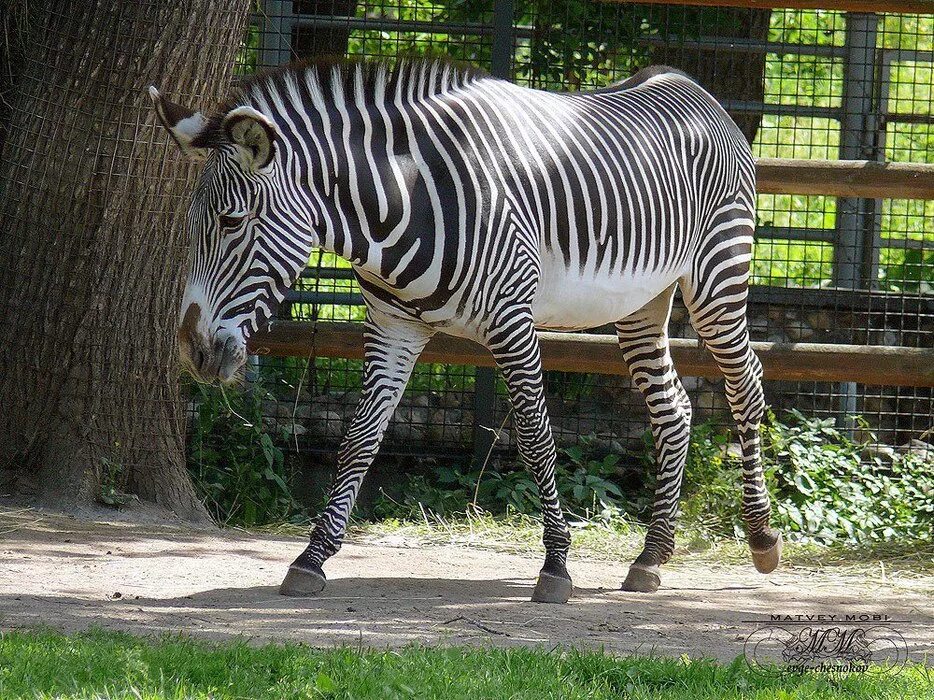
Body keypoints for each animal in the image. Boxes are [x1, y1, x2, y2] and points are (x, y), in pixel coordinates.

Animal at [152, 58, 784, 600]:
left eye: (233, 221)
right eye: (192, 223)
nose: (192, 351)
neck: (403, 201)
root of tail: (691, 86)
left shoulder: (511, 321)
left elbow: (534, 437)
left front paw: (556, 566)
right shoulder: (392, 326)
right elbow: (360, 438)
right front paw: (312, 558)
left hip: (718, 275)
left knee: (746, 388)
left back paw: (761, 537)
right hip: (642, 300)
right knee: (672, 408)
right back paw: (652, 557)